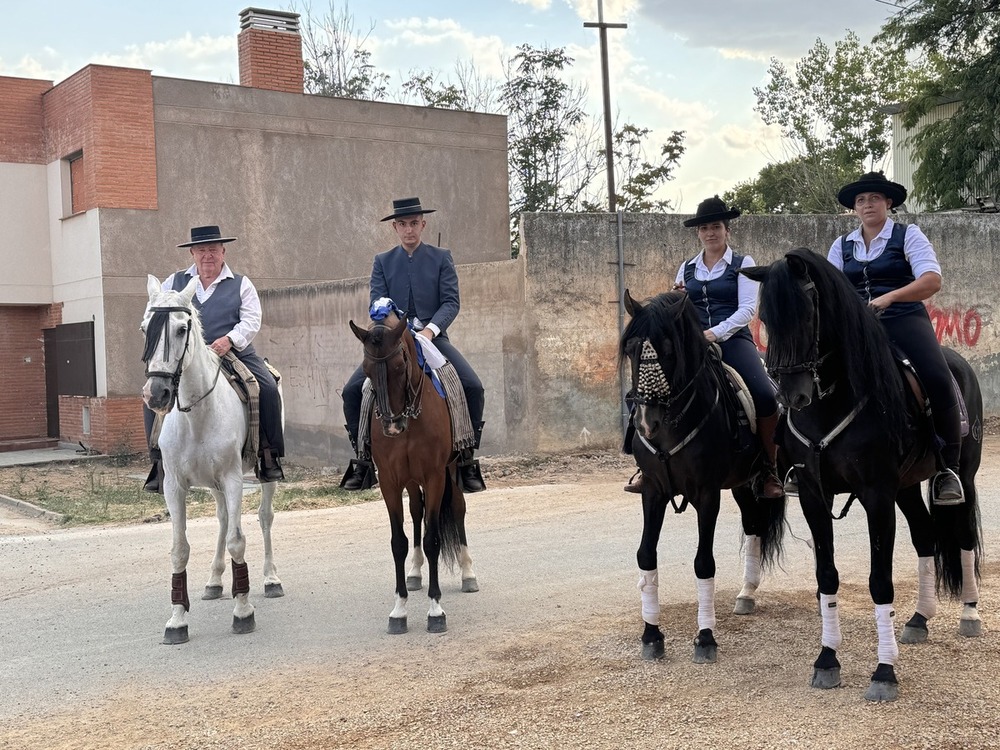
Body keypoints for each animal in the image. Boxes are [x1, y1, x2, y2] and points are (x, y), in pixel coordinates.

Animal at [141, 276, 284, 648]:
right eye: (145, 328)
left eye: (182, 328)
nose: (156, 394)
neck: (197, 413)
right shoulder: (174, 486)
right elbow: (179, 548)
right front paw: (177, 620)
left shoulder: (234, 479)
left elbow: (237, 540)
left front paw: (243, 611)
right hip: (215, 485)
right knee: (221, 519)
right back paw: (215, 581)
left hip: (262, 476)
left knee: (264, 518)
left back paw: (271, 579)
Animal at [350, 306, 478, 636]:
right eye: (366, 369)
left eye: (400, 365)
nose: (392, 426)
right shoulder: (390, 482)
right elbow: (398, 542)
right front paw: (399, 610)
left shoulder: (434, 476)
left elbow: (433, 539)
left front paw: (435, 610)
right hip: (409, 480)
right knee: (417, 510)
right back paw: (416, 572)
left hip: (450, 471)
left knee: (457, 508)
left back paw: (468, 572)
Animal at [616, 290, 788, 664]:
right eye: (632, 348)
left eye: (669, 349)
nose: (646, 423)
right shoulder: (653, 492)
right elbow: (645, 555)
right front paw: (651, 635)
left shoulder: (707, 495)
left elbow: (703, 563)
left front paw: (706, 638)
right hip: (742, 484)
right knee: (753, 525)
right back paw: (746, 593)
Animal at [744, 248, 984, 704]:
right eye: (764, 317)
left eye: (807, 312)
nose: (793, 396)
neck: (832, 402)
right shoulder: (814, 496)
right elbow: (826, 576)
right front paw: (826, 660)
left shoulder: (876, 495)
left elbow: (880, 581)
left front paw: (884, 671)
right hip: (906, 486)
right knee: (925, 537)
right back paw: (919, 619)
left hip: (961, 474)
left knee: (961, 536)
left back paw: (969, 615)